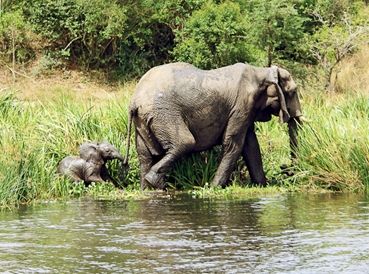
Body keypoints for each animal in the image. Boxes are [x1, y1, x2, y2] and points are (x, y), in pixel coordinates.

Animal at [123, 63, 302, 189]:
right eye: (293, 92)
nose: (285, 169)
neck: (262, 72)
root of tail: (134, 102)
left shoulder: (246, 110)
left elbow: (251, 145)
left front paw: (262, 186)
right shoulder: (242, 105)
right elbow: (233, 144)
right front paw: (213, 188)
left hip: (144, 121)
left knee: (144, 155)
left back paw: (147, 189)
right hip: (164, 114)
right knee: (185, 142)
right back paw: (154, 181)